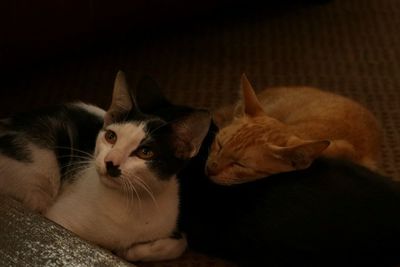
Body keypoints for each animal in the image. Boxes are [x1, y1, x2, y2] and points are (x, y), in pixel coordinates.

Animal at [0, 70, 212, 262]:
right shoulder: (58, 220)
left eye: (145, 152)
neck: (132, 201)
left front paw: (132, 251)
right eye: (111, 136)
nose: (110, 162)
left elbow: (180, 243)